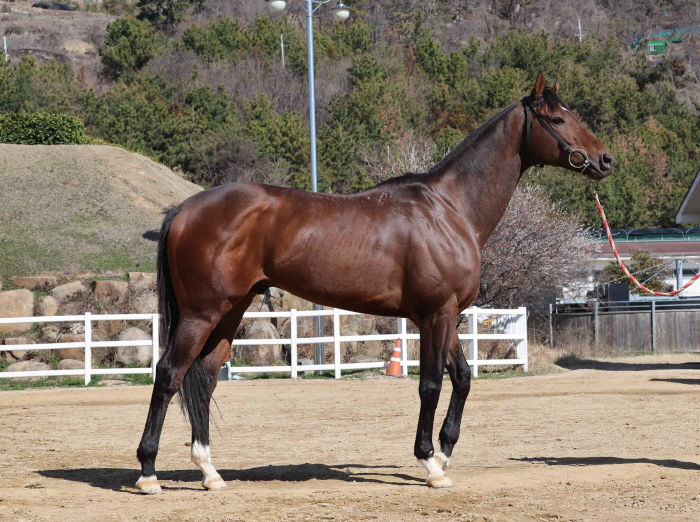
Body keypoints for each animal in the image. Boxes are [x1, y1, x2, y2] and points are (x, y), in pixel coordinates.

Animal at [135, 72, 612, 492]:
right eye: (557, 119)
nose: (605, 159)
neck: (449, 209)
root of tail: (184, 209)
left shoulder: (447, 315)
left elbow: (462, 378)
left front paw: (445, 452)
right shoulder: (435, 315)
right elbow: (430, 385)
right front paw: (429, 464)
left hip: (230, 312)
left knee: (203, 377)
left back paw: (210, 473)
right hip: (201, 313)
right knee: (169, 373)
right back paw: (148, 473)